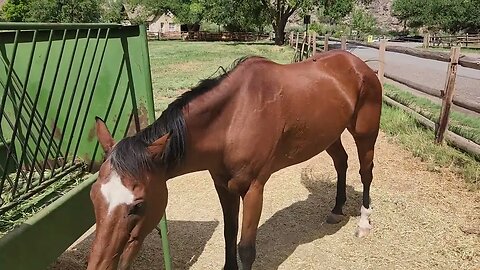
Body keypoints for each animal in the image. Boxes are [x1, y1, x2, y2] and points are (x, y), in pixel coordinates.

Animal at [87, 50, 382, 270]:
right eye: (93, 197)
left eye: (138, 205)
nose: (98, 266)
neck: (234, 118)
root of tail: (358, 64)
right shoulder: (223, 186)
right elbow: (229, 234)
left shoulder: (253, 189)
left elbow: (246, 248)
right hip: (330, 135)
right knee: (341, 162)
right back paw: (337, 209)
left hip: (365, 133)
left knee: (366, 172)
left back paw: (364, 223)